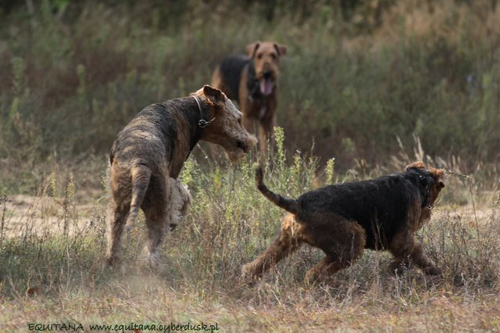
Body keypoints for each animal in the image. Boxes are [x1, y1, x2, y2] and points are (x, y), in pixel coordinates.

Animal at [108, 84, 260, 266]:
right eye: (238, 119)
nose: (250, 143)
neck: (196, 111)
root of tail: (139, 163)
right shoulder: (174, 173)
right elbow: (185, 197)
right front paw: (176, 219)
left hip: (119, 206)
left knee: (114, 239)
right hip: (157, 206)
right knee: (152, 245)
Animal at [242, 161, 446, 282]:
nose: (427, 214)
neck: (418, 179)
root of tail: (298, 204)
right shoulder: (402, 240)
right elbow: (416, 255)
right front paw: (435, 272)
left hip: (287, 241)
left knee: (257, 265)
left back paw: (247, 282)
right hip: (353, 240)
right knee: (313, 274)